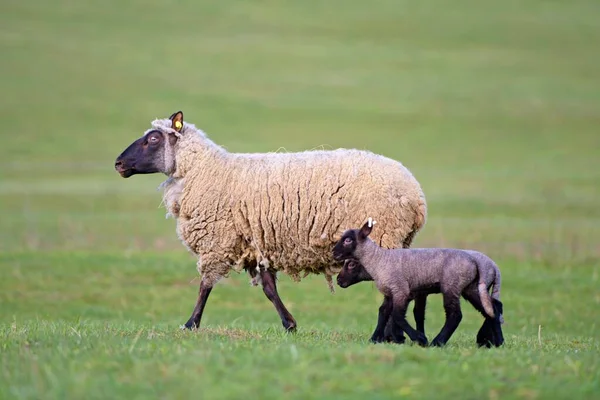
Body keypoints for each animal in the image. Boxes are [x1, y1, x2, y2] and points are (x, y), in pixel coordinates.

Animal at [113, 111, 426, 332]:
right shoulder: (257, 242)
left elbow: (205, 284)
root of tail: (416, 195)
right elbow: (268, 289)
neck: (206, 171)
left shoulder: (218, 240)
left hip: (386, 235)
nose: (118, 164)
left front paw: (191, 324)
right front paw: (290, 324)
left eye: (153, 139)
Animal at [330, 219, 504, 346]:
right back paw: (497, 342)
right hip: (471, 288)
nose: (338, 280)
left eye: (347, 240)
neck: (379, 260)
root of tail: (476, 262)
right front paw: (375, 339)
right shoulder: (391, 293)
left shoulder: (401, 290)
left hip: (451, 286)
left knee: (455, 315)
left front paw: (419, 338)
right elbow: (384, 312)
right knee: (491, 309)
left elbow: (398, 316)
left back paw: (438, 342)